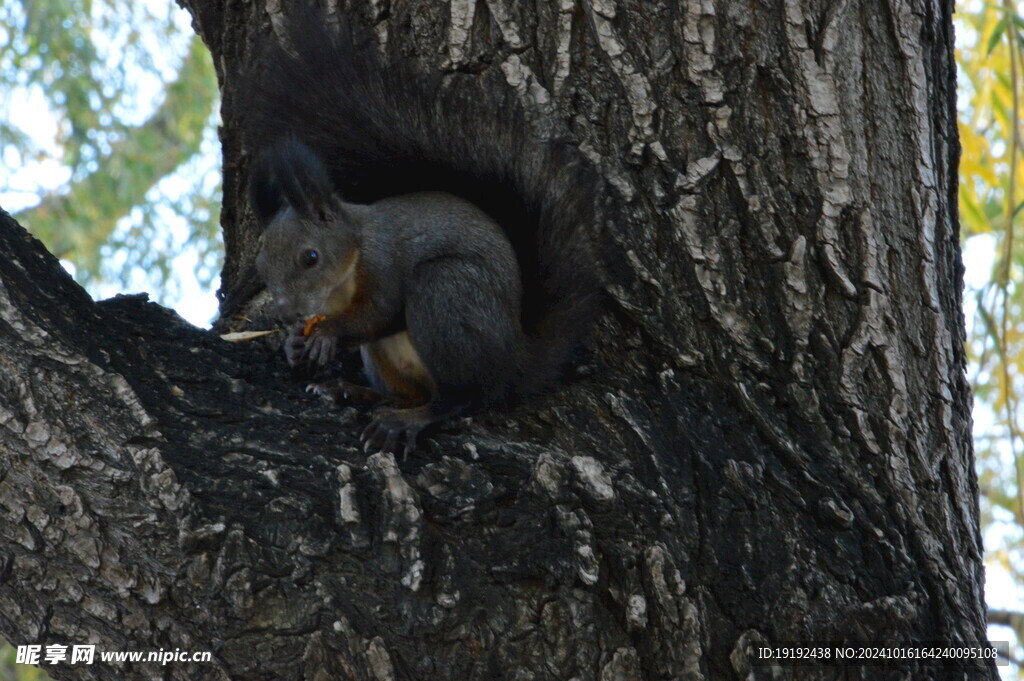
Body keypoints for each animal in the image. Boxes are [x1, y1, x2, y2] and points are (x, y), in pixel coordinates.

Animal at [243, 7, 602, 454]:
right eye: (261, 264)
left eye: (310, 257)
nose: (287, 312)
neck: (345, 273)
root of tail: (514, 361)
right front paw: (294, 343)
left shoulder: (383, 262)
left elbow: (381, 312)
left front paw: (327, 333)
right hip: (390, 356)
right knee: (409, 393)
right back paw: (353, 391)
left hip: (446, 293)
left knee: (460, 397)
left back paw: (406, 420)